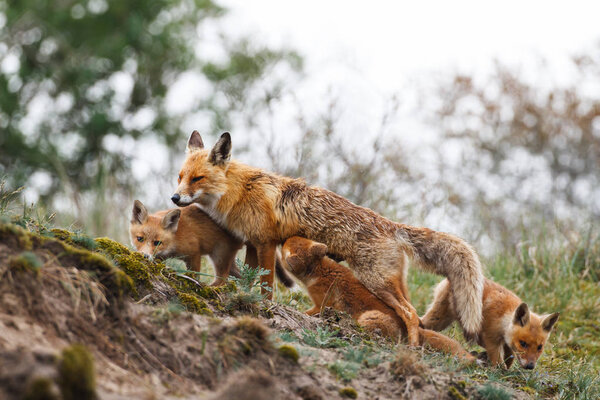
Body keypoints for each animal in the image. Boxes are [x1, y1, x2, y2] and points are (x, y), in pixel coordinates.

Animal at [129, 200, 296, 288]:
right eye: (140, 239)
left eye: (157, 242)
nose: (144, 256)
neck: (176, 237)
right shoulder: (162, 256)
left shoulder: (194, 253)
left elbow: (194, 273)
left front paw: (193, 282)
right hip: (226, 261)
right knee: (241, 277)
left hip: (219, 256)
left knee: (223, 279)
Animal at [170, 133, 482, 346]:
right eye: (180, 177)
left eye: (197, 179)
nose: (174, 198)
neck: (241, 191)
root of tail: (389, 224)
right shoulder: (252, 243)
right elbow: (249, 277)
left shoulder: (266, 243)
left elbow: (266, 285)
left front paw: (264, 309)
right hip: (391, 284)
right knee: (412, 313)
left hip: (376, 281)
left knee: (410, 312)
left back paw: (412, 347)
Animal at [422, 278, 556, 368]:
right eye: (523, 344)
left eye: (540, 347)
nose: (530, 366)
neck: (503, 317)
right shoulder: (490, 338)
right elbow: (497, 359)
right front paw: (500, 370)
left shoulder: (506, 342)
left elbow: (510, 356)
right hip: (438, 320)